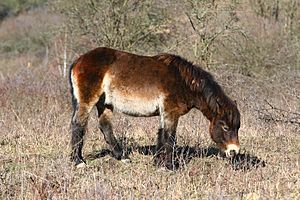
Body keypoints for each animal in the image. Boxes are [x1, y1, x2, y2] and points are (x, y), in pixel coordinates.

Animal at [69, 47, 240, 170]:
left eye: (237, 127)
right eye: (225, 127)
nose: (234, 151)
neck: (184, 82)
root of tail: (79, 60)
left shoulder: (164, 113)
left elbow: (162, 136)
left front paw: (158, 163)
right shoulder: (171, 113)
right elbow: (170, 138)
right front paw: (169, 167)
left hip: (105, 103)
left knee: (105, 126)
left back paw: (123, 157)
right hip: (87, 102)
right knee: (78, 125)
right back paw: (78, 161)